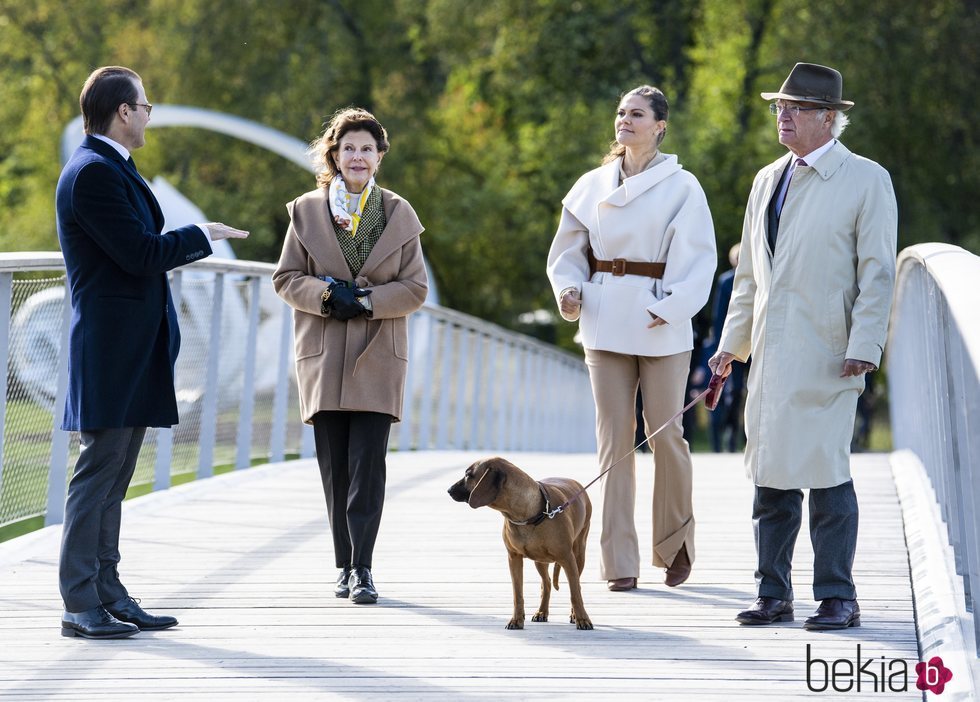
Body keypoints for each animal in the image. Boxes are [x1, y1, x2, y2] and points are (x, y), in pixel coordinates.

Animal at [448, 456, 592, 632]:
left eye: (469, 475)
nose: (449, 490)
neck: (528, 514)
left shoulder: (567, 558)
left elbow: (575, 593)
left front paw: (582, 619)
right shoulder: (514, 558)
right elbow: (518, 594)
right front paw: (516, 619)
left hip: (579, 553)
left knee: (575, 583)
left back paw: (573, 615)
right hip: (540, 561)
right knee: (546, 584)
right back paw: (542, 611)